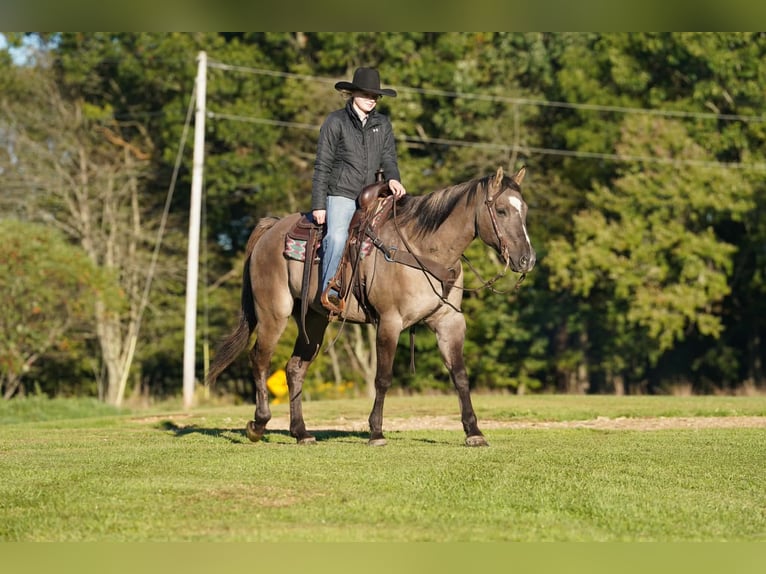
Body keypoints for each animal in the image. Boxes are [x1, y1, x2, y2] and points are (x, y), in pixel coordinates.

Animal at [207, 166, 536, 447]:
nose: (527, 260)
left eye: (524, 209)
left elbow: (460, 375)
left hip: (314, 319)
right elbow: (383, 377)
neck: (423, 248)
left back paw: (301, 433)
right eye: (502, 210)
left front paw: (474, 431)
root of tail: (272, 229)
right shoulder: (390, 322)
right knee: (260, 359)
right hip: (273, 313)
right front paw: (376, 431)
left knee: (295, 368)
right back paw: (258, 424)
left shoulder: (449, 322)